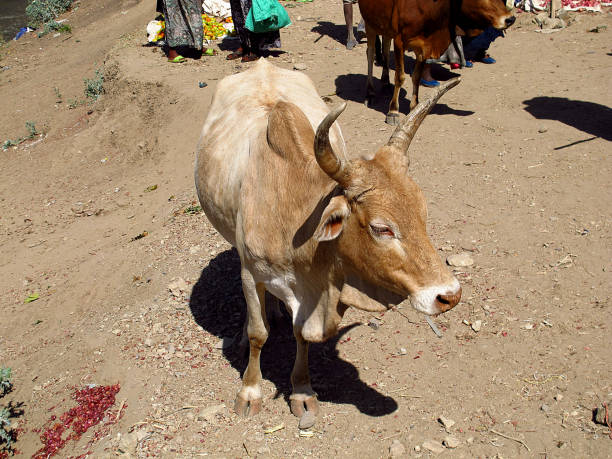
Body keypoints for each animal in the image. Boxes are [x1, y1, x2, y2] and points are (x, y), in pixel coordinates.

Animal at [195, 58, 460, 420]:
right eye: (381, 228)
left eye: (422, 212)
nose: (449, 296)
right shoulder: (251, 274)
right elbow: (257, 334)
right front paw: (250, 391)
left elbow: (301, 336)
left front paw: (302, 390)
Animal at [360, 0, 512, 124]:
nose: (510, 19)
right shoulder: (399, 42)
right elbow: (400, 77)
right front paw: (393, 112)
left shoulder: (424, 47)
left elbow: (416, 77)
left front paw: (415, 107)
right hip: (369, 24)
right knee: (370, 54)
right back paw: (370, 93)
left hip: (384, 27)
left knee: (385, 49)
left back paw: (385, 83)